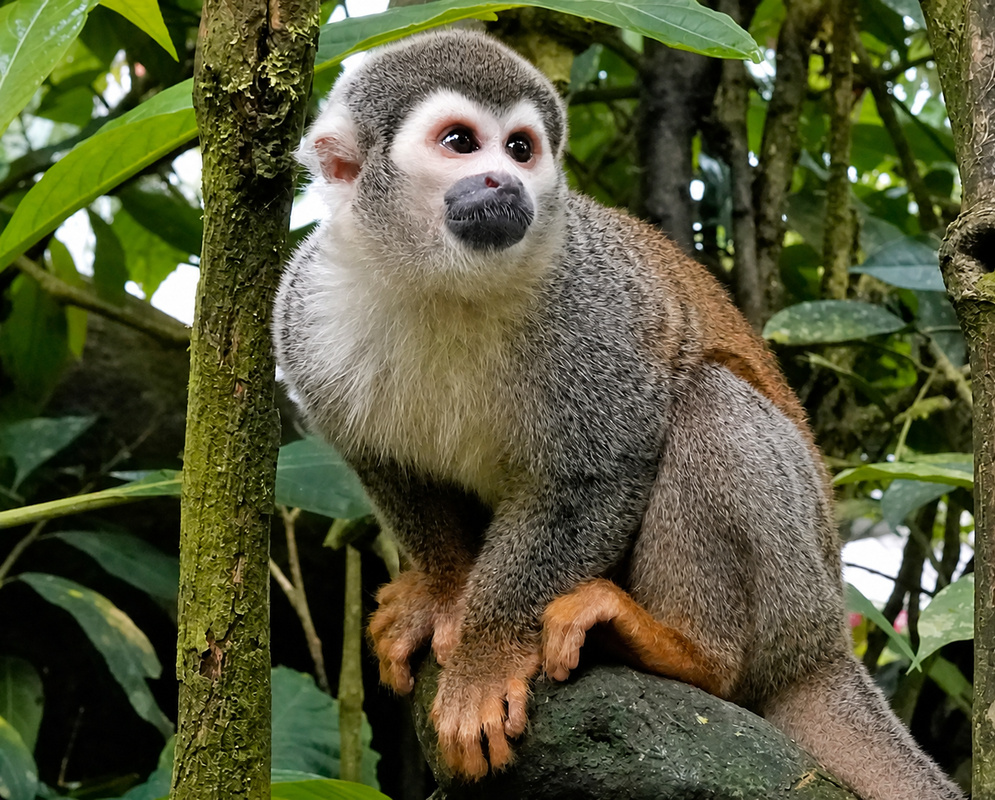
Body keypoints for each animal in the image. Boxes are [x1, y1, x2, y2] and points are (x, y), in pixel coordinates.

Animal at [272, 29, 964, 800]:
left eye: (520, 148)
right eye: (459, 142)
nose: (505, 183)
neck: (443, 281)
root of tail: (828, 646)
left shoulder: (589, 301)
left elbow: (600, 470)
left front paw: (486, 655)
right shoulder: (306, 311)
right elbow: (387, 463)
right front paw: (445, 594)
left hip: (795, 591)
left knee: (707, 401)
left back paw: (689, 652)